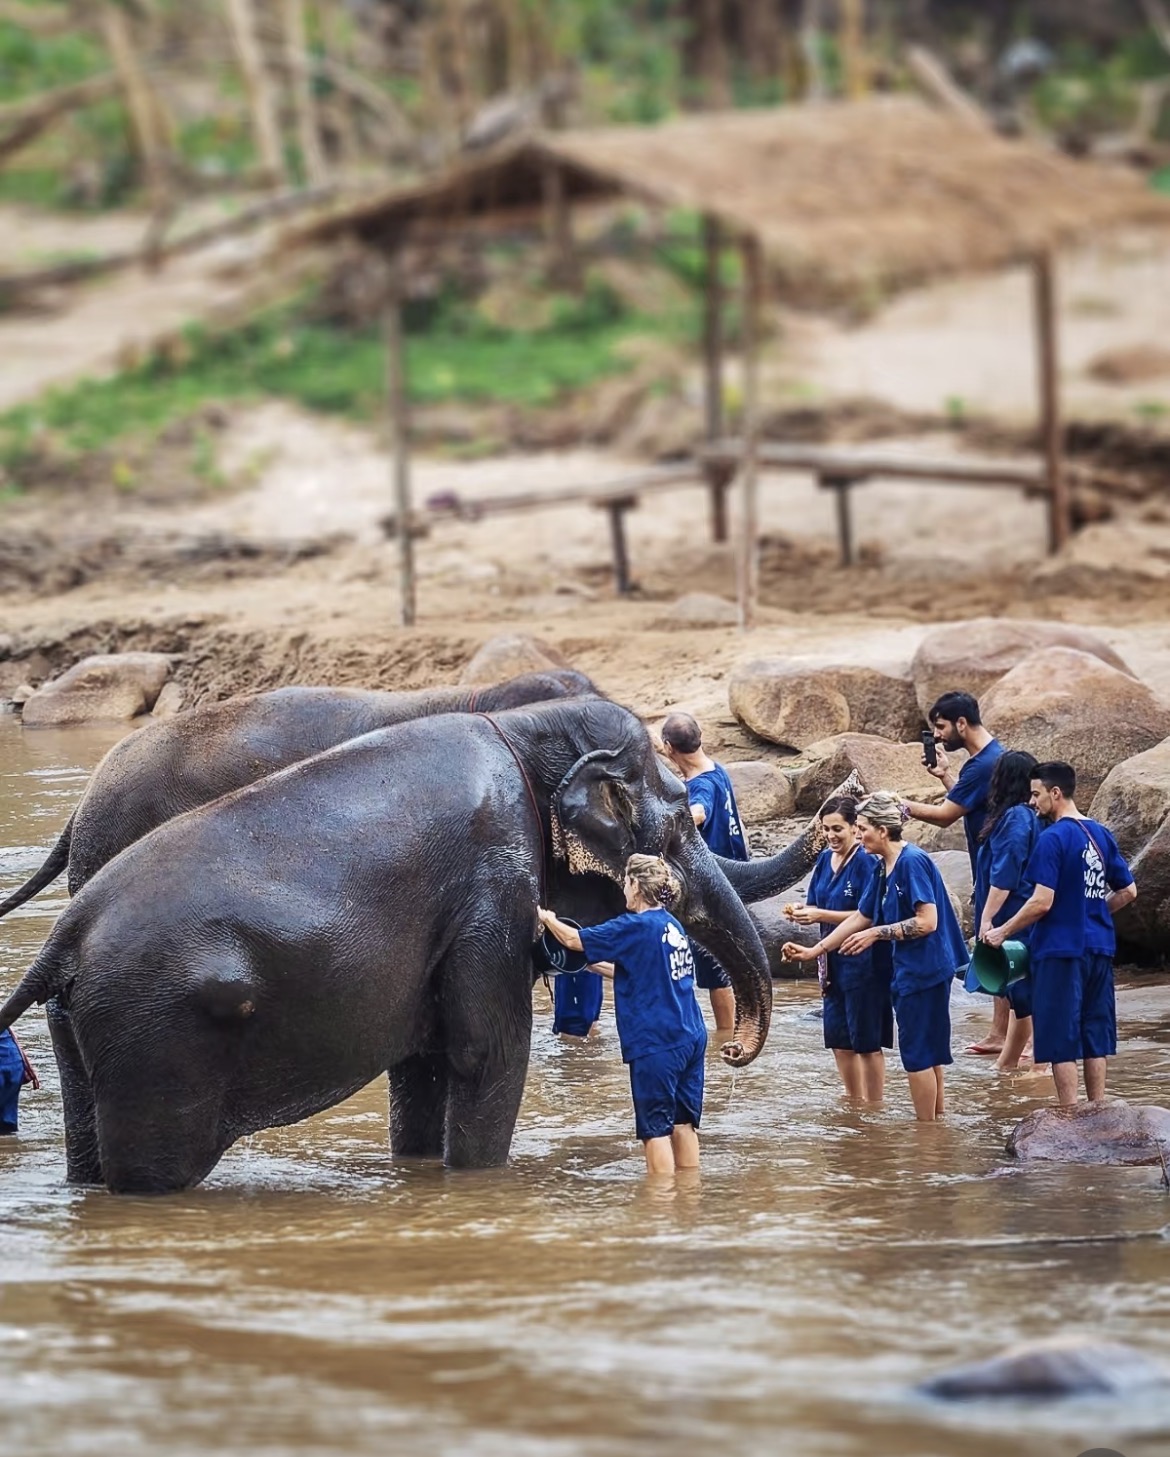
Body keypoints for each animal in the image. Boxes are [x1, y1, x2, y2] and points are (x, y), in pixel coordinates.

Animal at [0, 698, 775, 1194]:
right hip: (156, 1040)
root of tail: (65, 937)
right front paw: (478, 1185)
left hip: (87, 1027)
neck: (522, 728)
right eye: (679, 827)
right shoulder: (490, 884)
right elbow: (487, 1051)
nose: (734, 1050)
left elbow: (425, 1065)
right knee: (155, 1170)